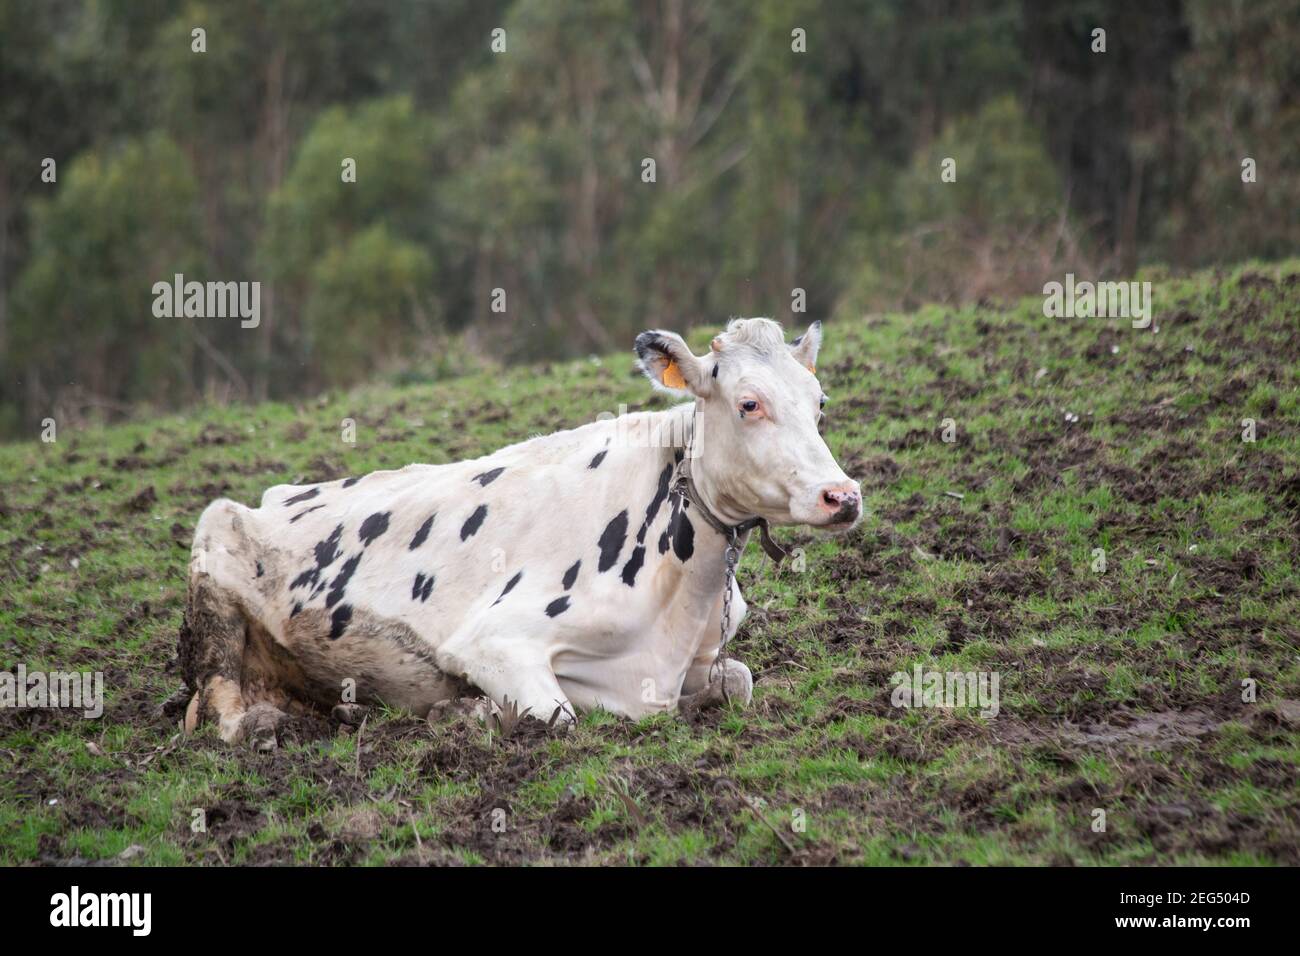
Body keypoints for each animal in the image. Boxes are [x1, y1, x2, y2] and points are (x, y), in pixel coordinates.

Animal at [178, 317, 857, 749]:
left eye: (820, 403)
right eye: (748, 403)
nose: (843, 496)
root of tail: (273, 493)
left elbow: (739, 682)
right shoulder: (494, 641)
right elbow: (555, 718)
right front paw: (466, 713)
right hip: (213, 565)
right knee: (219, 703)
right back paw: (263, 724)